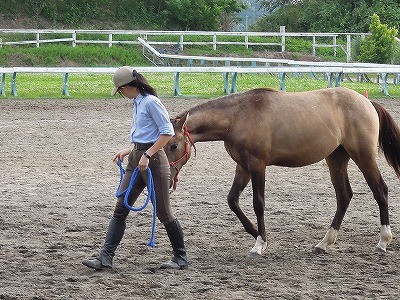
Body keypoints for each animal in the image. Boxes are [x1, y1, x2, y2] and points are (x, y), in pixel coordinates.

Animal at [163, 86, 400, 258]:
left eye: (173, 145)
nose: (168, 178)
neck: (239, 116)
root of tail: (366, 102)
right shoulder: (243, 167)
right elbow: (232, 200)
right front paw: (256, 232)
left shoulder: (257, 165)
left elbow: (258, 203)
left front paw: (259, 244)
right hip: (336, 159)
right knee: (344, 196)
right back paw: (324, 243)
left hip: (363, 156)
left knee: (380, 191)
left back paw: (382, 241)